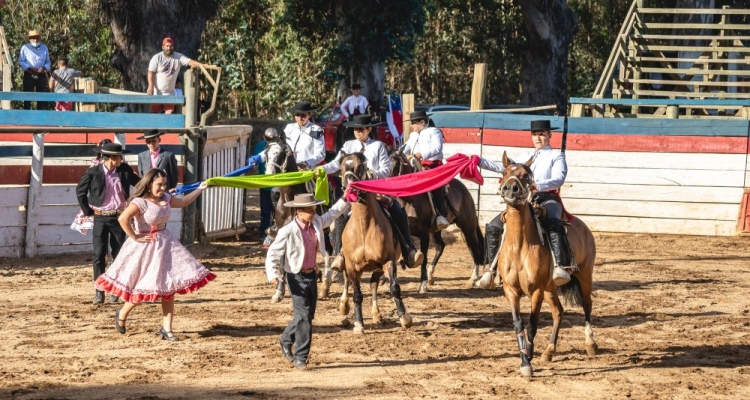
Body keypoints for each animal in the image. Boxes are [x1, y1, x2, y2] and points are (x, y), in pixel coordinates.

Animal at [340, 152, 412, 332]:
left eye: (360, 166)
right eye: (342, 167)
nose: (350, 187)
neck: (364, 227)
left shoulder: (387, 261)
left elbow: (394, 288)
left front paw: (405, 318)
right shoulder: (351, 265)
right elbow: (357, 294)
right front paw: (358, 324)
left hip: (378, 267)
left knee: (373, 284)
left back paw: (376, 313)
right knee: (347, 280)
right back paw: (343, 305)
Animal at [388, 148, 488, 292]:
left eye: (396, 164)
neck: (409, 200)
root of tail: (465, 191)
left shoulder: (424, 234)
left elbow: (424, 258)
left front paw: (422, 285)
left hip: (468, 228)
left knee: (474, 248)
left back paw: (473, 278)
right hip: (436, 231)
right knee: (440, 246)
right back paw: (431, 275)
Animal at [496, 152, 596, 376]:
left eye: (526, 175)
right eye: (505, 172)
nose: (510, 189)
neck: (519, 245)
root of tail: (584, 227)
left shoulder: (536, 291)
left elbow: (532, 324)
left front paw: (528, 360)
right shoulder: (511, 290)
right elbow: (518, 324)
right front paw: (525, 361)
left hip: (584, 276)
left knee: (587, 305)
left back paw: (590, 345)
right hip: (551, 288)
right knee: (558, 312)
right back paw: (549, 351)